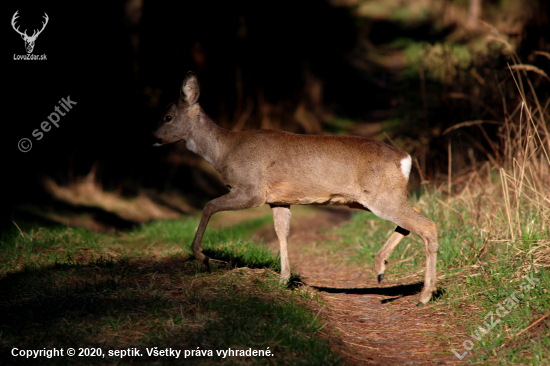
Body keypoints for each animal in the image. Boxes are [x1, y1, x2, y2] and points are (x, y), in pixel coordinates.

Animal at [151, 71, 440, 304]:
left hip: (381, 197)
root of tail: (404, 158)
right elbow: (282, 233)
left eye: (167, 116)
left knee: (428, 226)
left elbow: (208, 206)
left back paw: (423, 295)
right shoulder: (279, 199)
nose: (152, 137)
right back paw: (382, 268)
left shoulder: (251, 190)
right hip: (376, 198)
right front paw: (283, 279)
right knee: (412, 221)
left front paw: (203, 256)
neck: (224, 151)